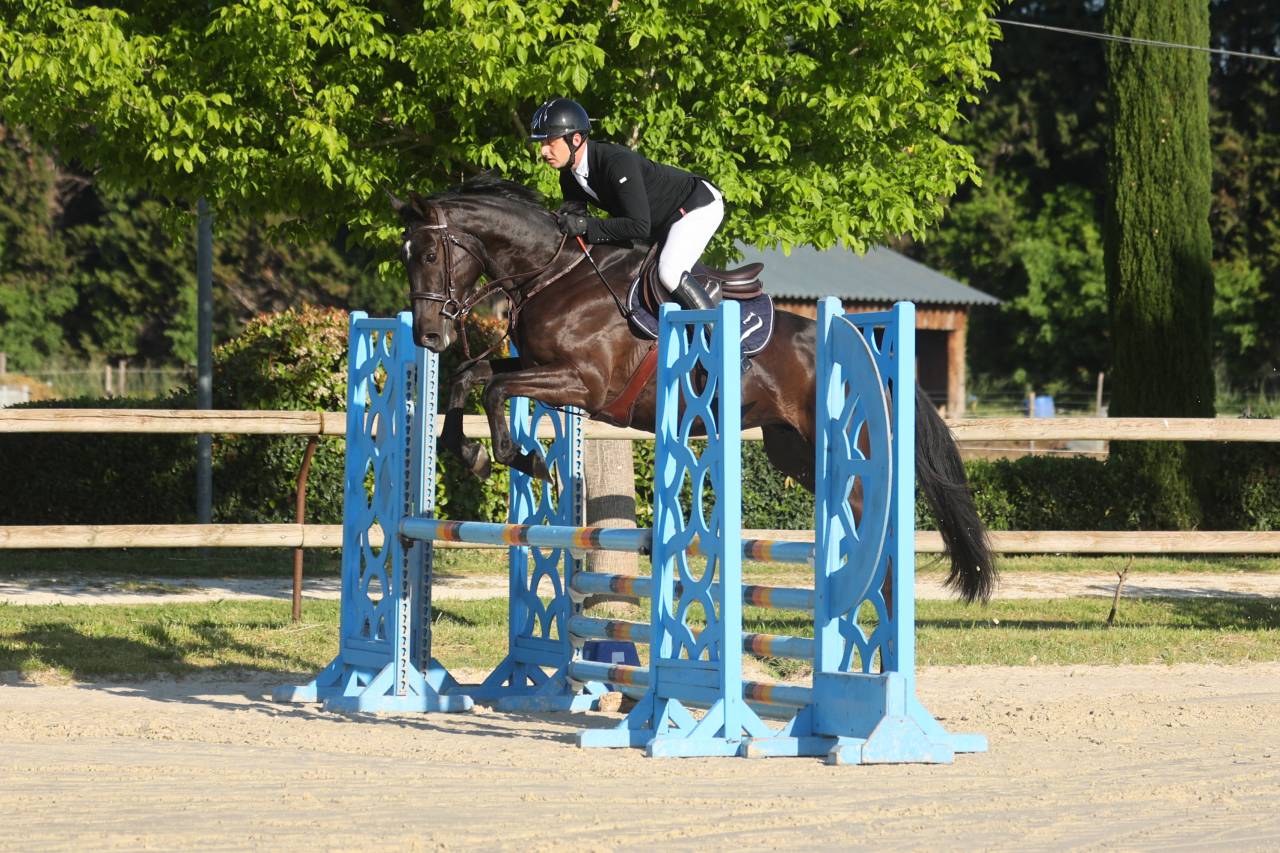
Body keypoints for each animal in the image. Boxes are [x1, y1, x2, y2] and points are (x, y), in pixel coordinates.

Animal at [392, 175, 996, 603]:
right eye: (407, 257)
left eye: (430, 255)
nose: (429, 335)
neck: (554, 272)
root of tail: (866, 348)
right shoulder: (539, 365)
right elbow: (470, 379)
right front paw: (470, 452)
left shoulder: (584, 384)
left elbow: (495, 390)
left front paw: (524, 459)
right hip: (794, 450)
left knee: (873, 515)